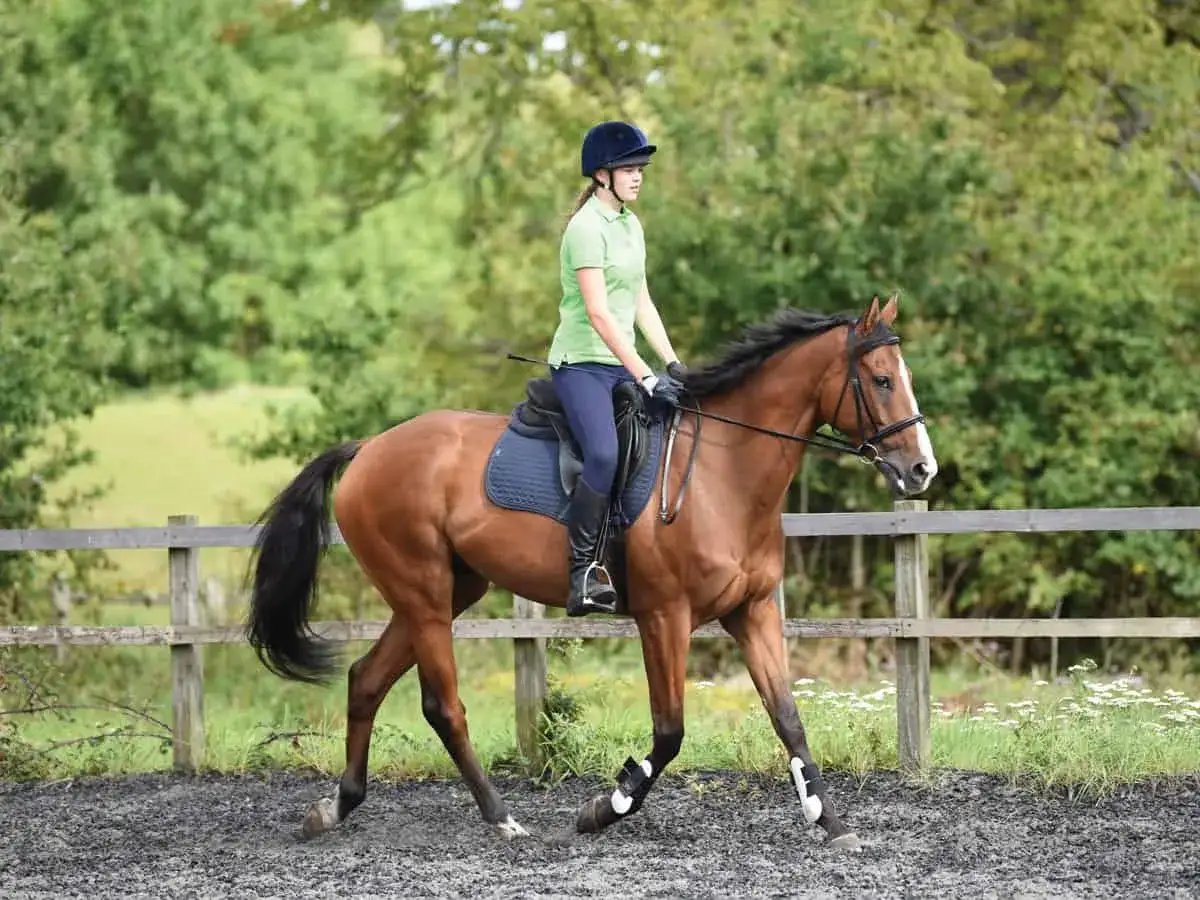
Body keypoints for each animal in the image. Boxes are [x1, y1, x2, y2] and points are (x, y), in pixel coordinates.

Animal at [245, 293, 937, 853]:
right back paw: (502, 820)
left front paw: (832, 822)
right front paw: (607, 805)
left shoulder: (753, 610)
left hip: (448, 591)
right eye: (880, 380)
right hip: (424, 595)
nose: (922, 471)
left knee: (365, 681)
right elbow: (669, 732)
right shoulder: (664, 617)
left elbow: (788, 717)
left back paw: (335, 808)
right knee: (444, 705)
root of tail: (369, 448)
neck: (724, 474)